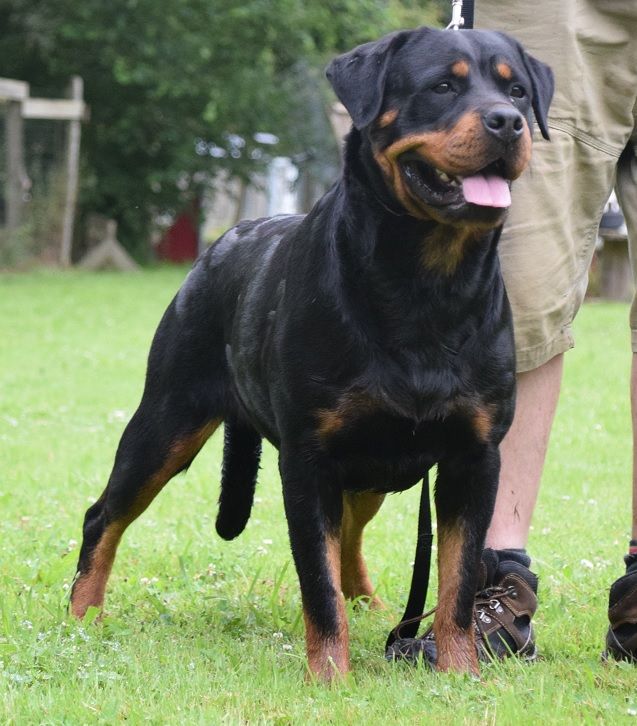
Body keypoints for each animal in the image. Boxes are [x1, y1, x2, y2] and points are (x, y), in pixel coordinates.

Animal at [69, 27, 548, 684]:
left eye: (518, 91)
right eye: (442, 87)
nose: (507, 121)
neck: (425, 280)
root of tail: (220, 243)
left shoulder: (473, 457)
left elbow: (456, 580)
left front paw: (459, 673)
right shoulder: (307, 459)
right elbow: (316, 584)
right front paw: (330, 677)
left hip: (372, 461)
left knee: (350, 533)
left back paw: (372, 604)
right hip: (166, 421)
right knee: (105, 515)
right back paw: (80, 618)